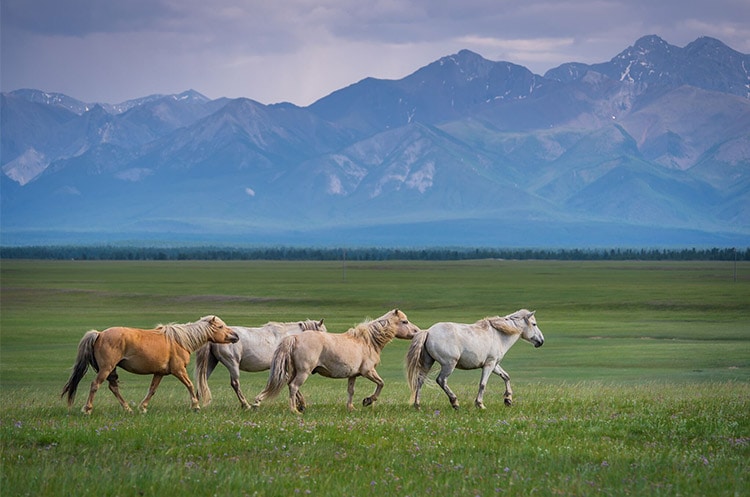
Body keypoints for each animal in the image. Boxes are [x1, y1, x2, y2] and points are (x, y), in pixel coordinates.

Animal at [61, 314, 238, 414]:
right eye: (221, 326)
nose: (236, 336)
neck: (180, 340)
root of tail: (98, 334)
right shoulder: (179, 370)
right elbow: (190, 385)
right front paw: (195, 406)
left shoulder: (159, 373)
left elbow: (152, 390)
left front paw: (143, 407)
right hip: (106, 368)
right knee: (95, 385)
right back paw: (87, 409)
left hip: (111, 370)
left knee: (113, 387)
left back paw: (128, 409)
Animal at [194, 320, 326, 408]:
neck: (289, 337)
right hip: (232, 364)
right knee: (235, 383)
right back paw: (246, 405)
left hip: (211, 363)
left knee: (202, 379)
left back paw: (196, 404)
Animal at [251, 308, 418, 412]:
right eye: (404, 321)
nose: (416, 332)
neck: (368, 341)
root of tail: (294, 338)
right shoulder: (368, 371)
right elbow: (381, 384)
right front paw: (368, 400)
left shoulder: (353, 375)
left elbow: (351, 391)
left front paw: (351, 408)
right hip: (303, 372)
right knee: (293, 387)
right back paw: (294, 410)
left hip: (293, 372)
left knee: (289, 386)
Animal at [406, 308, 548, 408]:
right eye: (534, 324)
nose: (541, 341)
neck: (499, 335)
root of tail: (428, 331)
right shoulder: (489, 364)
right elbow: (483, 384)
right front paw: (480, 404)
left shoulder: (494, 364)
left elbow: (506, 377)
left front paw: (508, 400)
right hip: (449, 364)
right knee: (441, 380)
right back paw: (455, 403)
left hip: (428, 362)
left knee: (420, 380)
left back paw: (417, 405)